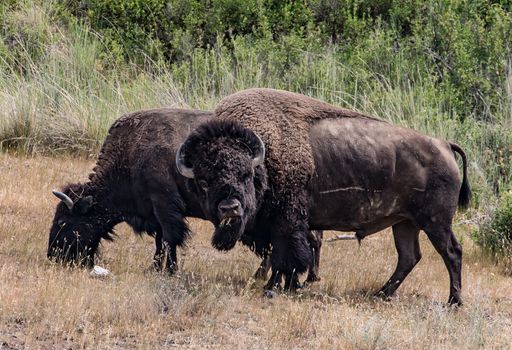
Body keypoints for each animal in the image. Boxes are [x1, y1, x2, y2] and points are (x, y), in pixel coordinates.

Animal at [47, 106, 320, 282]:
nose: (53, 255)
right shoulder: (155, 213)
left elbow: (170, 239)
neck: (131, 154)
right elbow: (160, 242)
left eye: (64, 221)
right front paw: (155, 269)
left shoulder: (166, 208)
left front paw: (169, 271)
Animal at [177, 88, 472, 304]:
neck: (264, 158)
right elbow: (279, 256)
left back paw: (453, 301)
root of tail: (444, 144)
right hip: (404, 223)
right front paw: (284, 285)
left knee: (451, 252)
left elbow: (285, 256)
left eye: (246, 174)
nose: (230, 208)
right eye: (203, 181)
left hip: (435, 222)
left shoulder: (286, 223)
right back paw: (380, 294)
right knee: (409, 257)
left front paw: (276, 288)